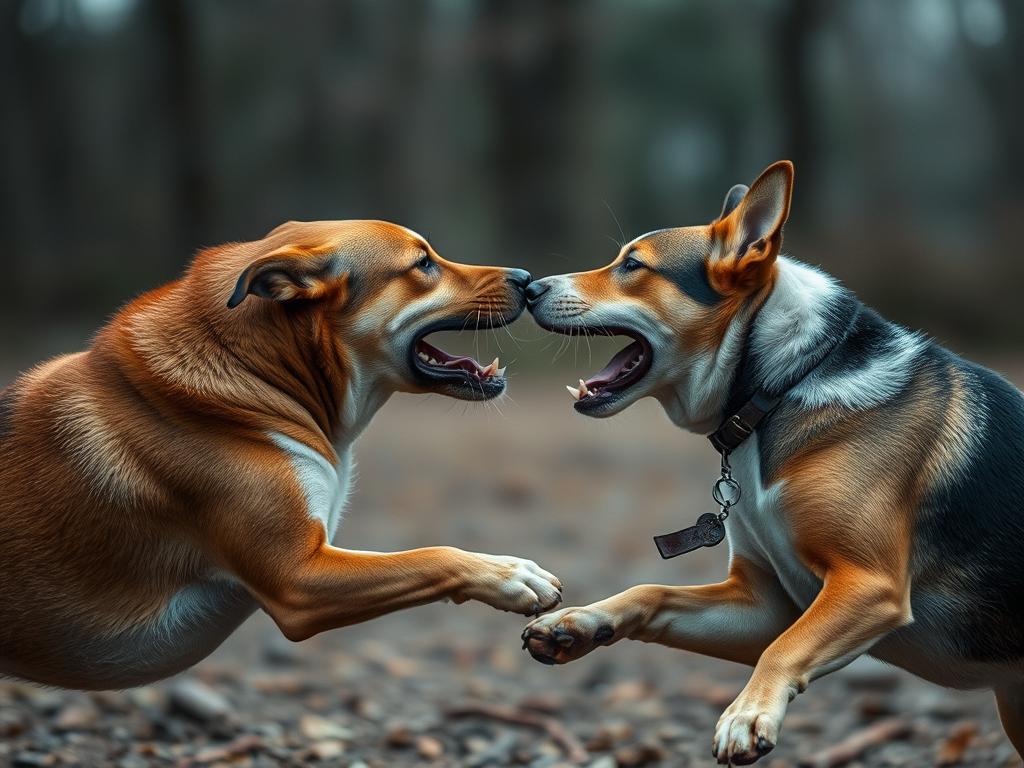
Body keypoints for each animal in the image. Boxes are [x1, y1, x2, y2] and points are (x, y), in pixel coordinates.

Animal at [0, 221, 565, 692]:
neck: (255, 375)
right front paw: (509, 574)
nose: (527, 279)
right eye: (422, 263)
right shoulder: (296, 576)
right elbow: (430, 555)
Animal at [524, 162, 1024, 765]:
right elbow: (651, 592)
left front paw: (747, 715)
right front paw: (579, 622)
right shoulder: (762, 606)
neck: (785, 383)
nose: (528, 287)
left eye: (633, 265)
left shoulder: (869, 584)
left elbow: (785, 649)